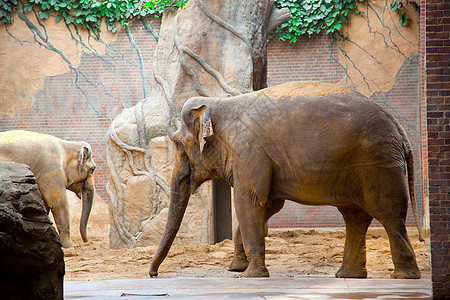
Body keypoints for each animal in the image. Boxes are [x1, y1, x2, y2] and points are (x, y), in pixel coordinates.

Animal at [149, 81, 424, 278]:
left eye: (177, 143)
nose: (153, 274)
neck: (219, 102)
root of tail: (397, 125)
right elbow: (268, 205)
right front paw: (237, 268)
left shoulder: (248, 150)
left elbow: (249, 201)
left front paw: (250, 275)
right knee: (355, 216)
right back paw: (349, 275)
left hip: (378, 161)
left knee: (388, 214)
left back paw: (404, 277)